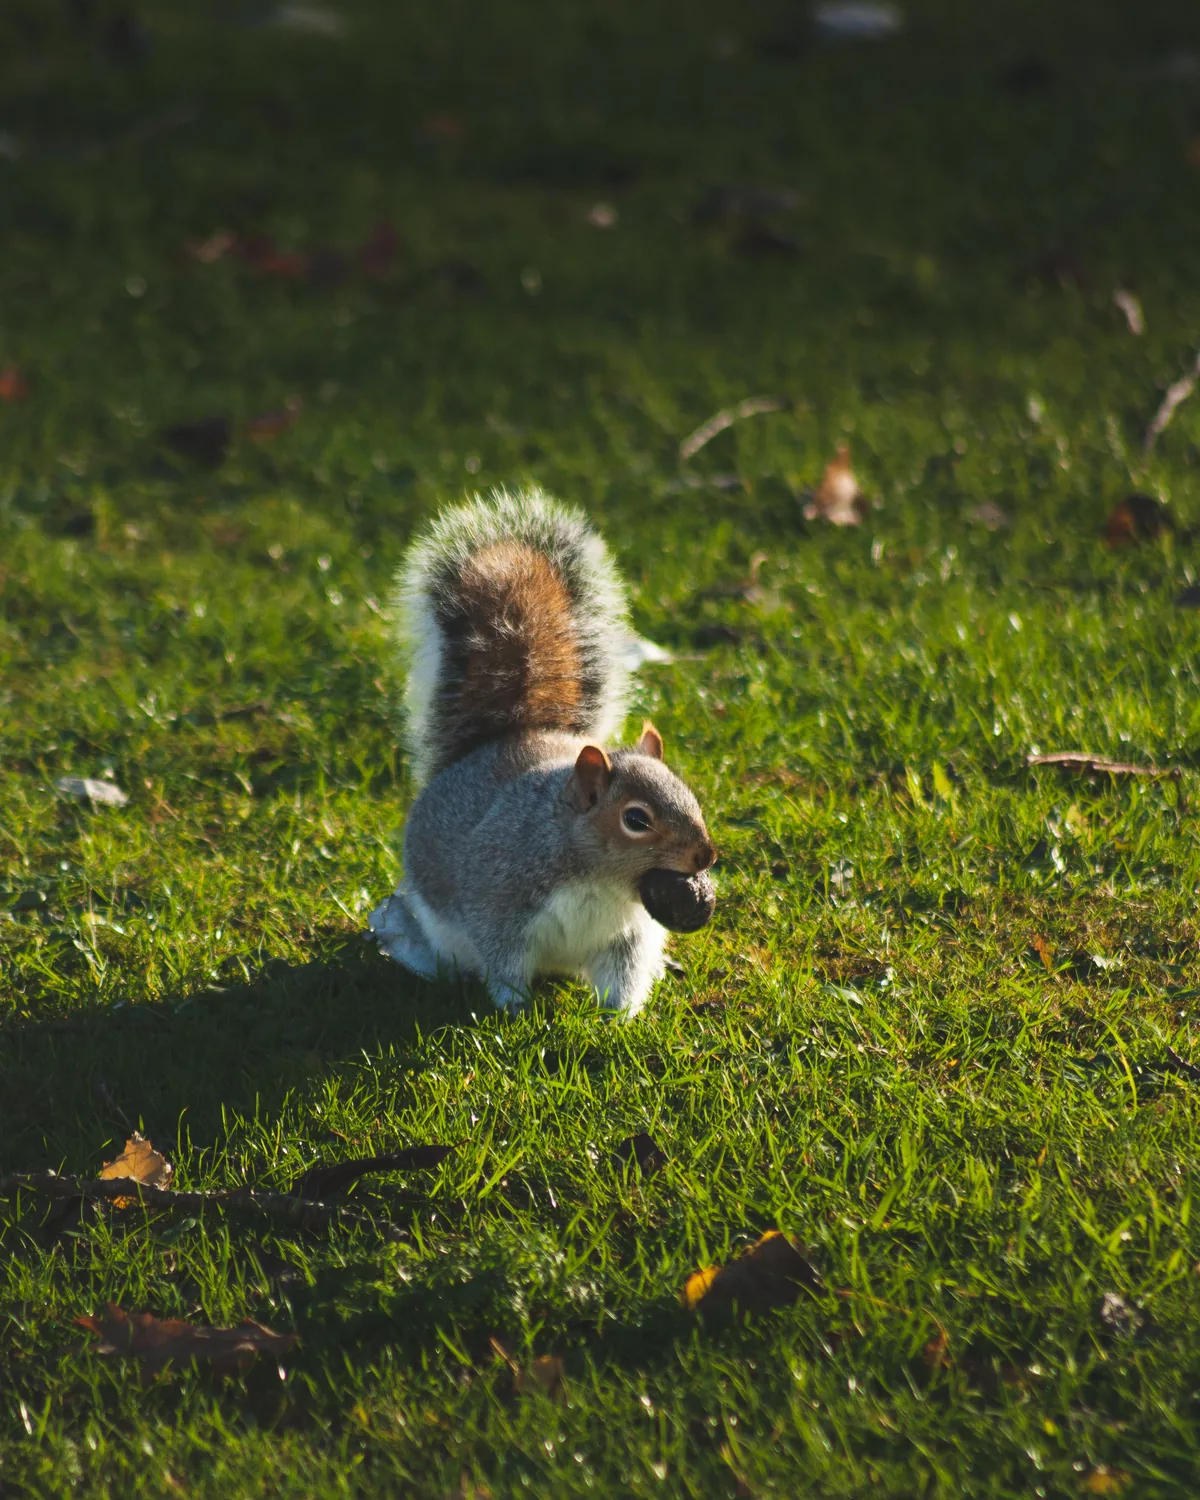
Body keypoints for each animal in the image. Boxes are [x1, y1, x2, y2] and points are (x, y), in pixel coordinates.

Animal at [368, 486, 716, 1018]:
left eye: (690, 795)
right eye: (636, 819)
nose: (705, 855)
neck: (603, 882)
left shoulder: (628, 936)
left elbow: (623, 976)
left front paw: (621, 1020)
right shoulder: (500, 903)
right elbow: (504, 963)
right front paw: (514, 1012)